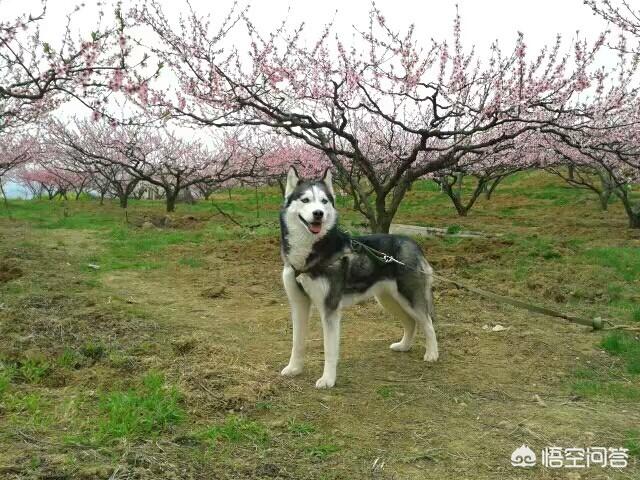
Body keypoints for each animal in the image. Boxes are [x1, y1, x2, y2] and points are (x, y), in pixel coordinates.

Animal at [278, 167, 438, 388]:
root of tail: (412, 242)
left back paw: (432, 354)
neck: (309, 253)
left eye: (324, 201)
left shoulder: (329, 309)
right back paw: (404, 346)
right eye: (305, 200)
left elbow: (329, 350)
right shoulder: (298, 304)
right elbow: (297, 342)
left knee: (428, 323)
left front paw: (328, 380)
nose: (318, 213)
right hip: (388, 299)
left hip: (410, 298)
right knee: (410, 322)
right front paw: (294, 369)